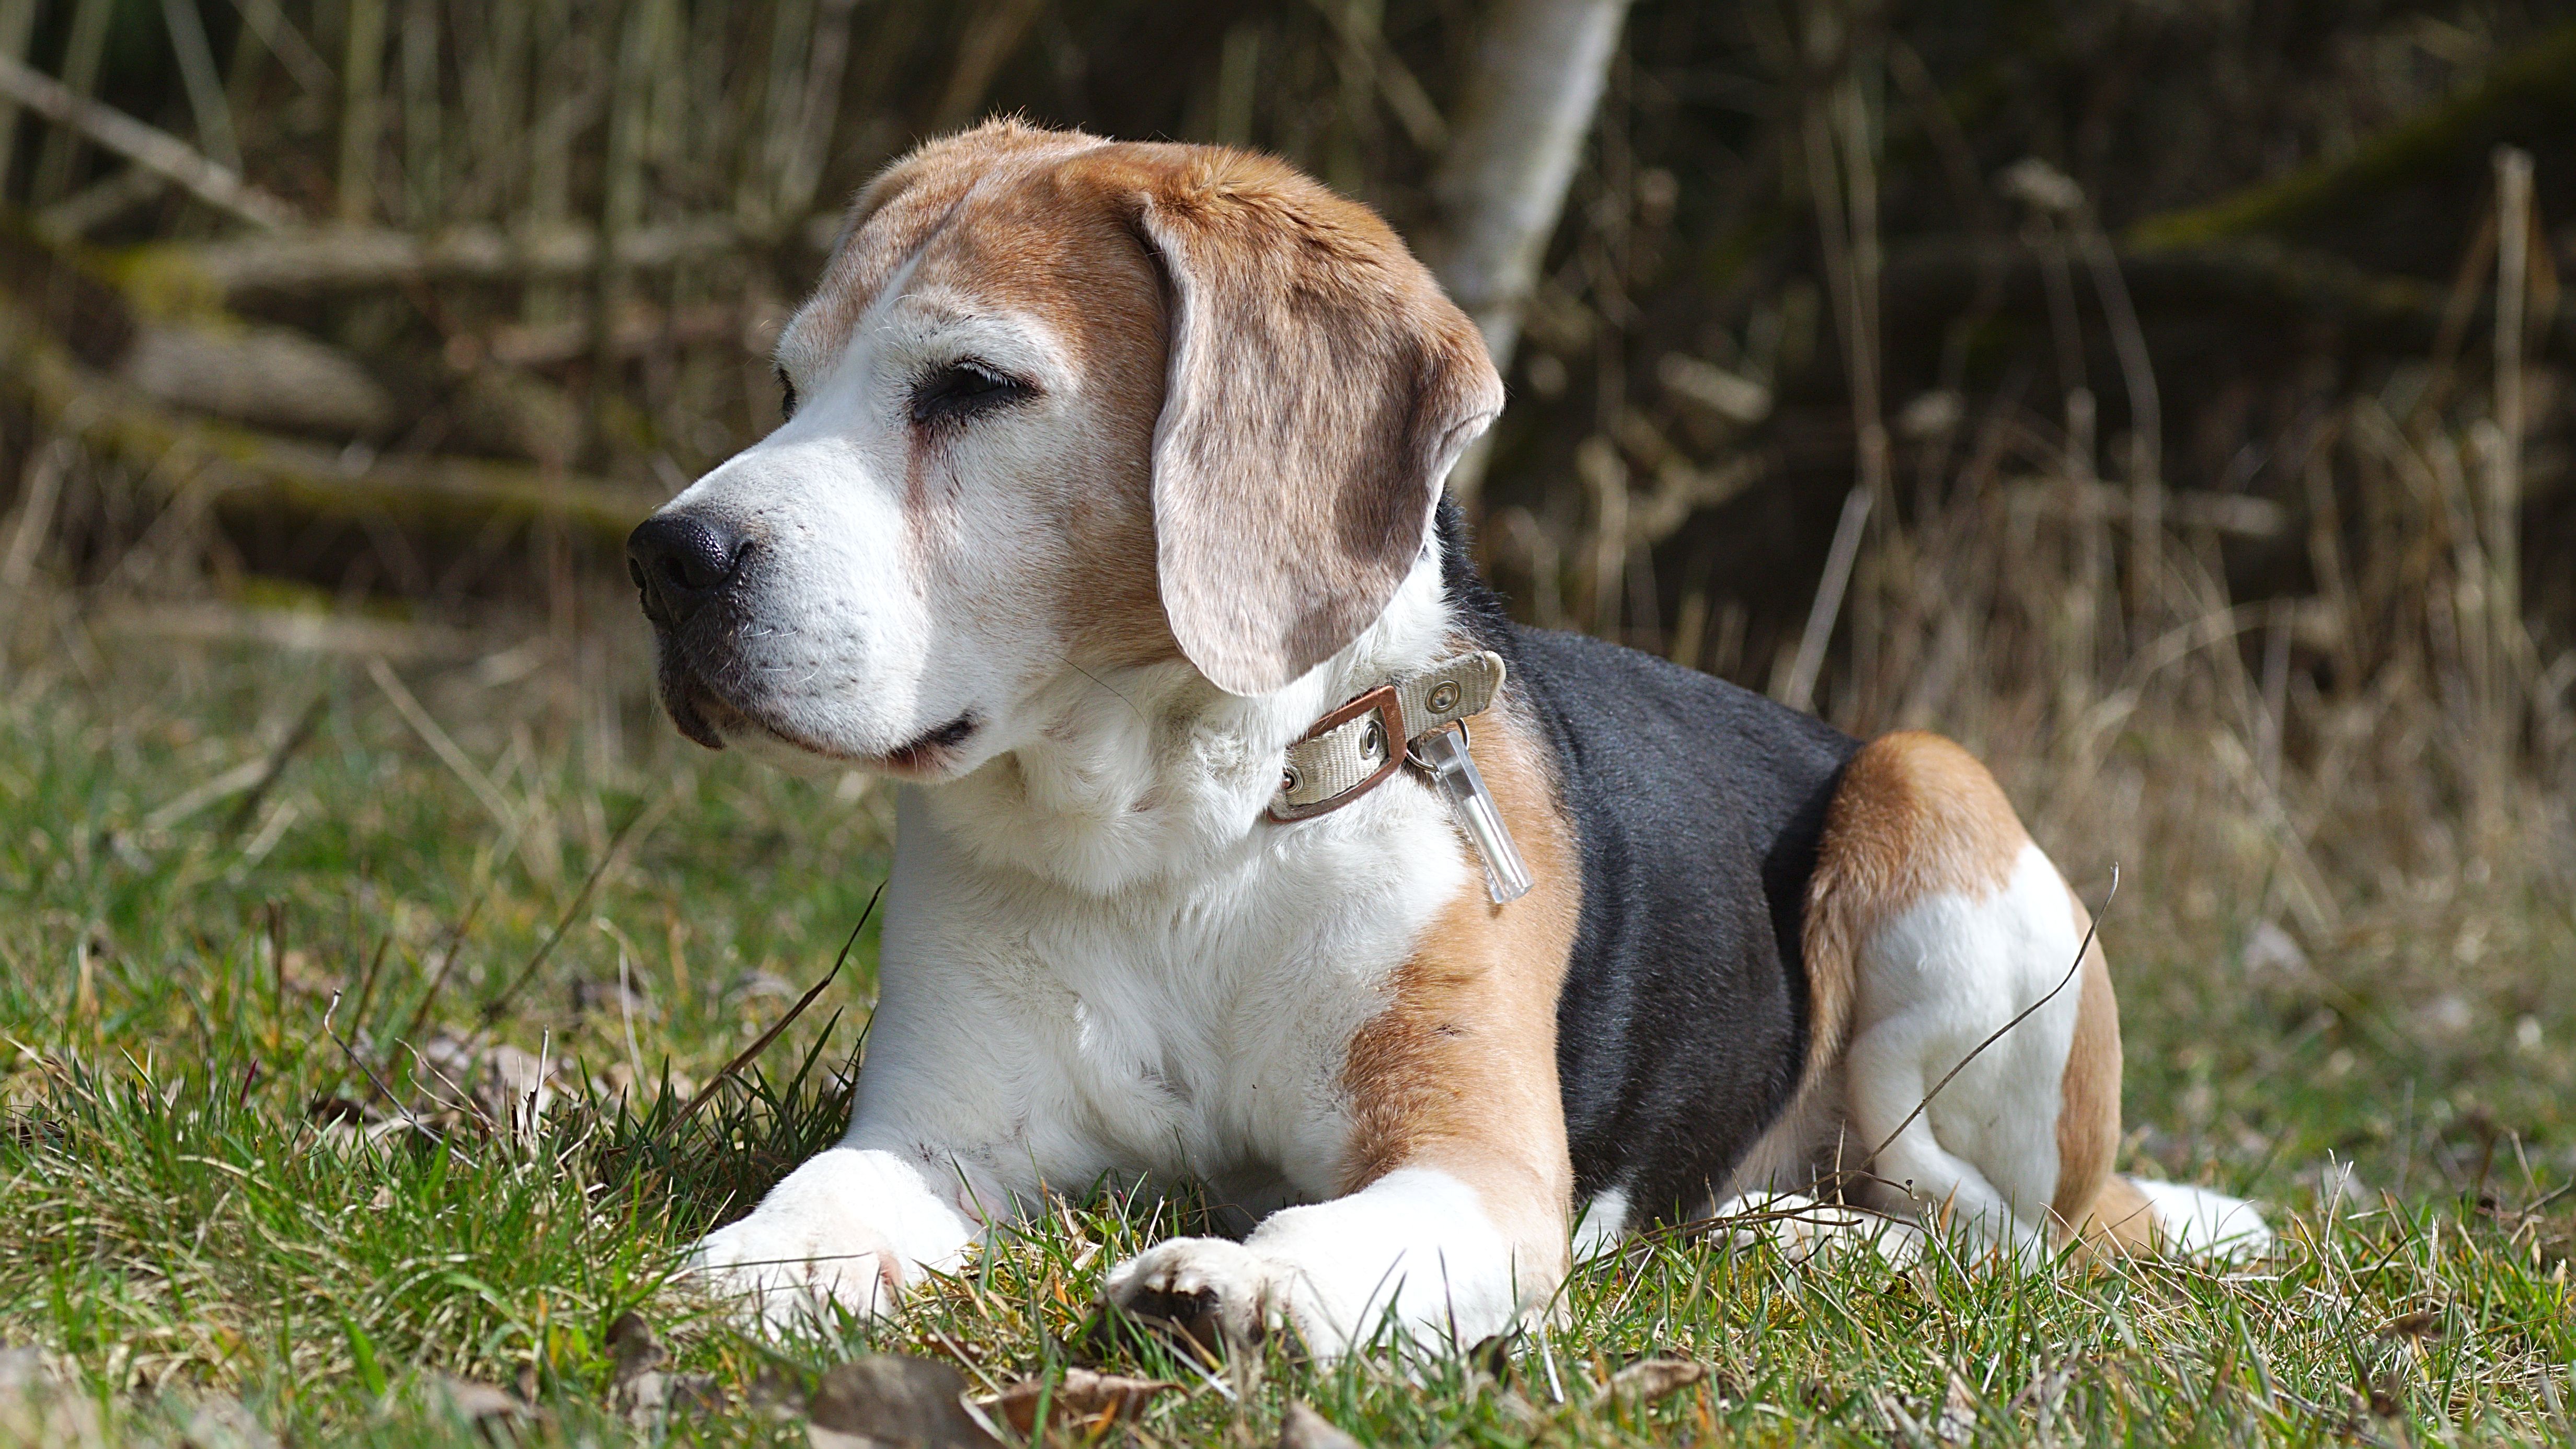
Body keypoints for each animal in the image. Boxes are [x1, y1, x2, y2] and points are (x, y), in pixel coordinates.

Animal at [628, 118, 2277, 1351]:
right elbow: (831, 1192)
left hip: (1932, 790)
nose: (665, 558)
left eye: (974, 386)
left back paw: (1795, 1235)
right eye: (788, 384)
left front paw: (1249, 1279)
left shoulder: (1471, 1166)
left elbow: (1347, 1226)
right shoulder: (941, 1138)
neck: (1185, 835)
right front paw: (747, 1272)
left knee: (1997, 1239)